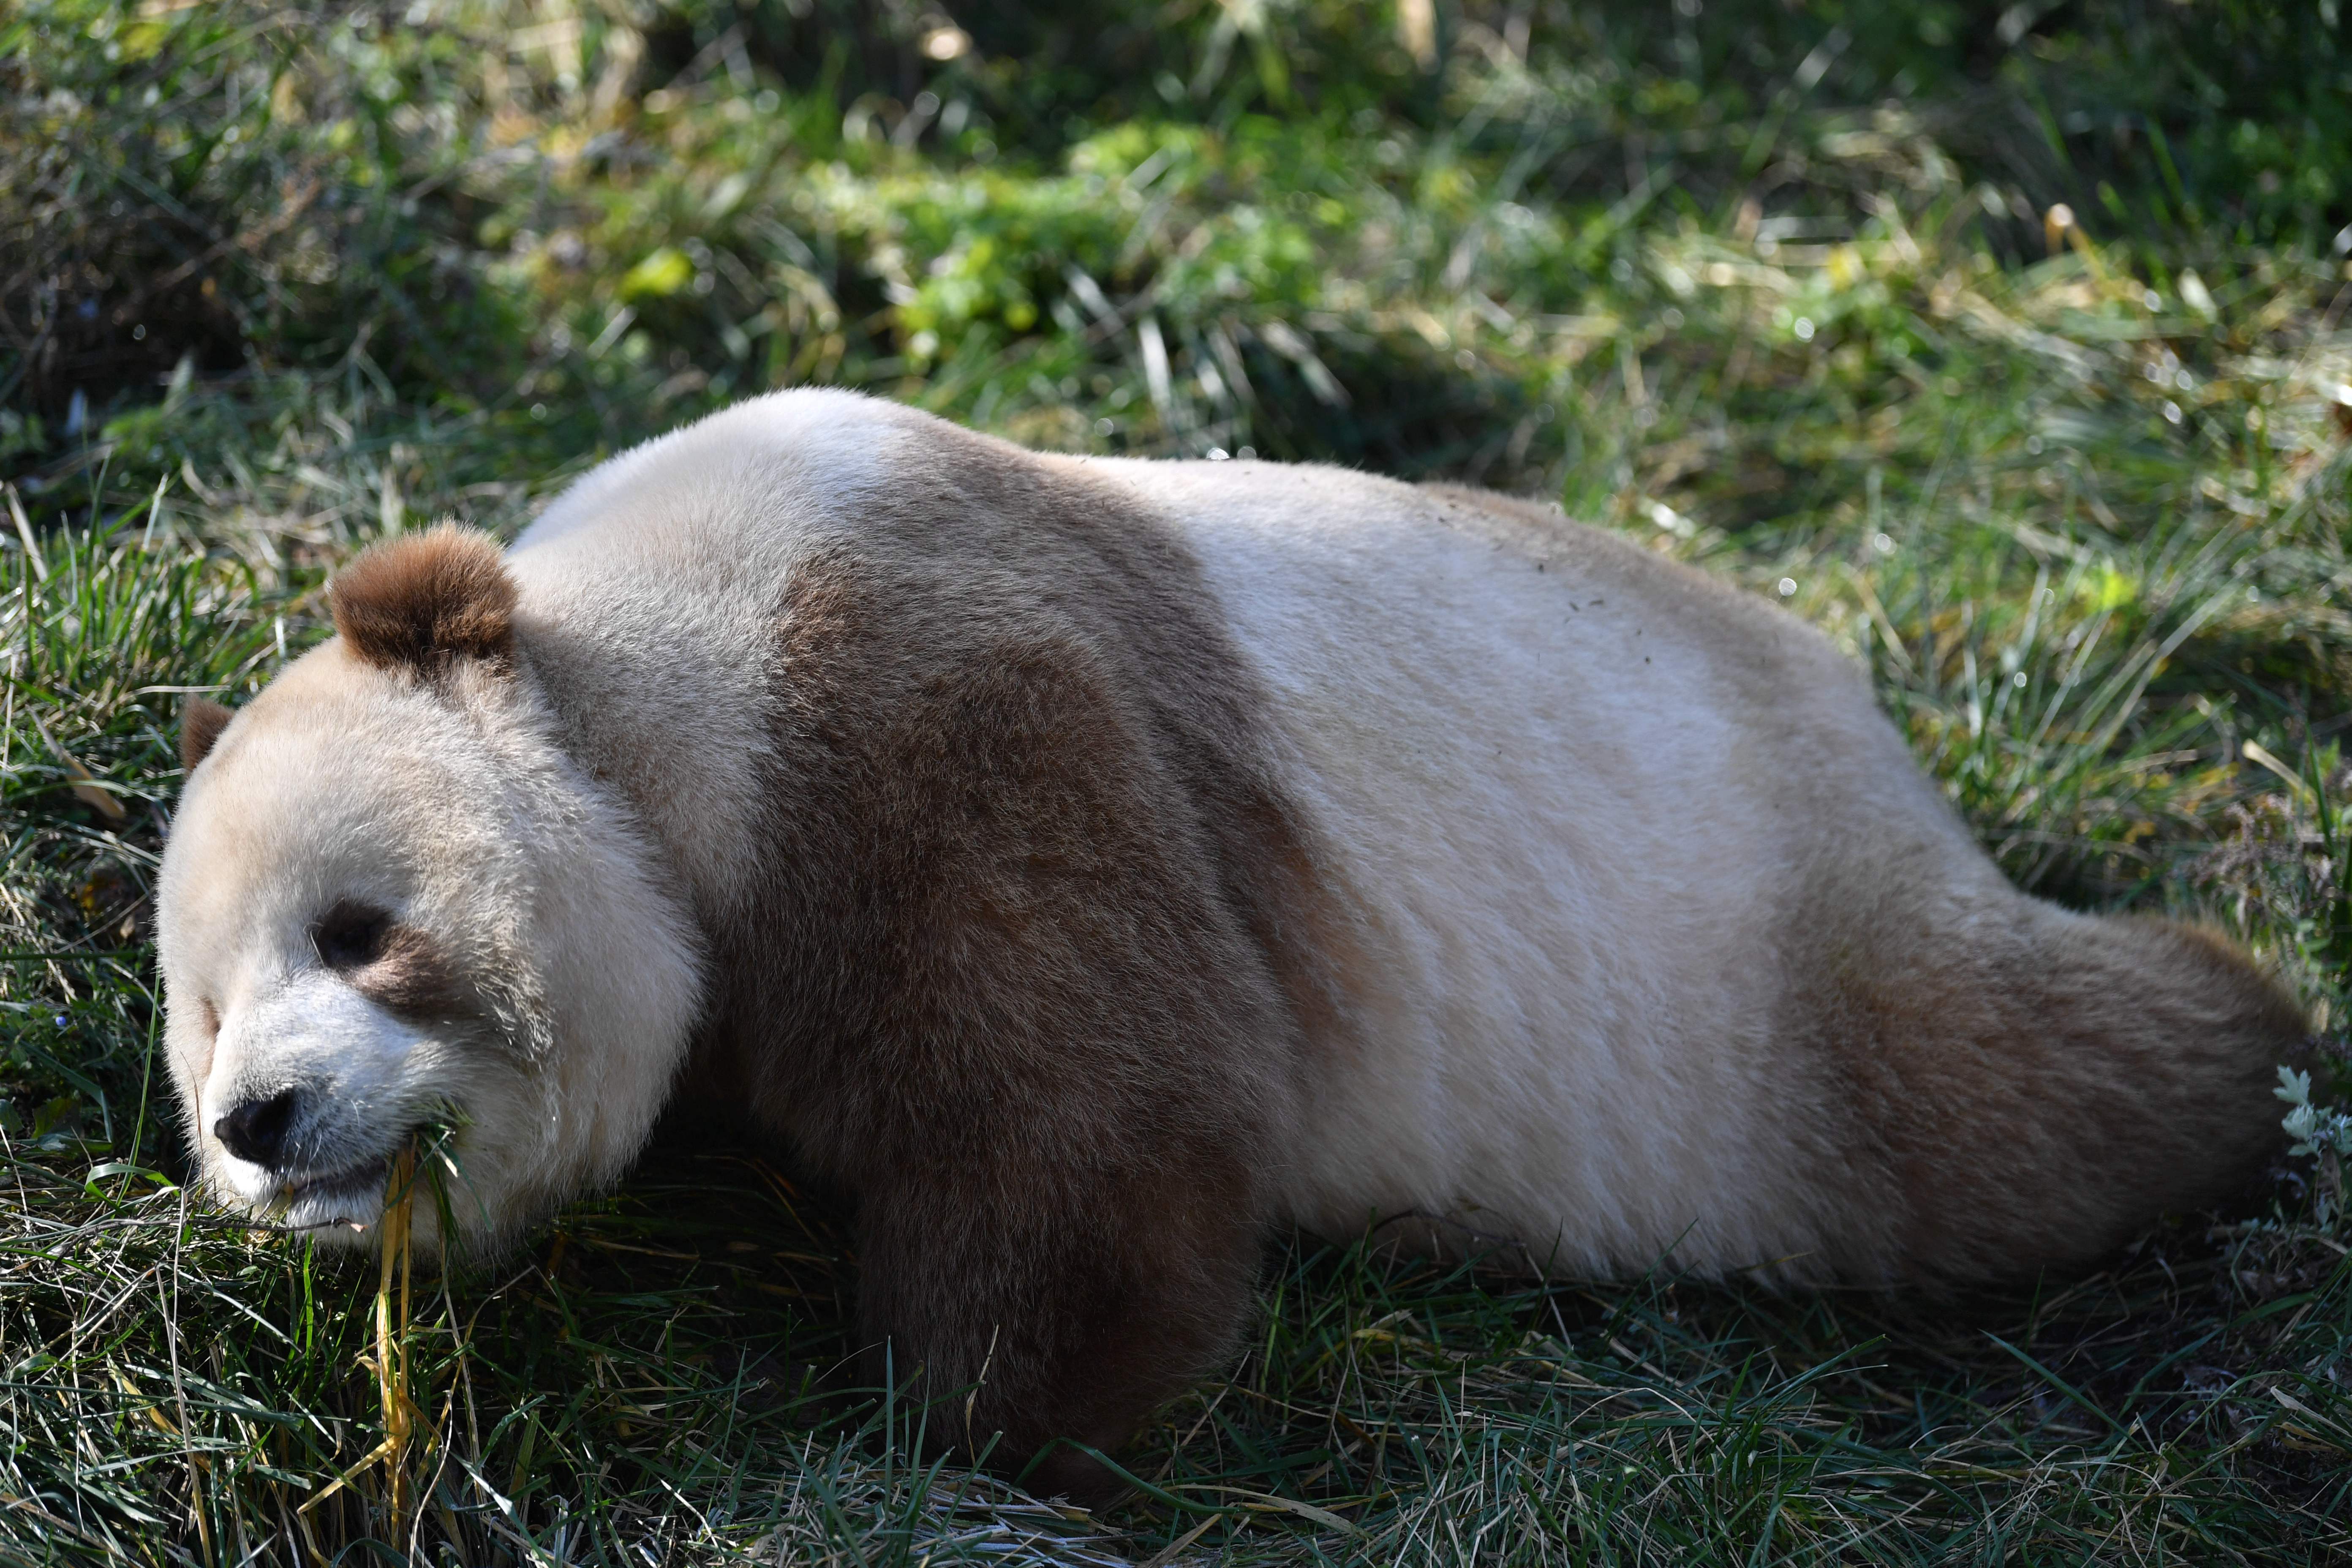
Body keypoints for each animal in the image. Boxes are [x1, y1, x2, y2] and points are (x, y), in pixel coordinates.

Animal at [156, 385, 2305, 1495]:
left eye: (363, 931)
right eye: (201, 1014)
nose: (264, 1124)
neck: (628, 665)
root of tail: (1873, 722)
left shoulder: (918, 712)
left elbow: (1085, 1101)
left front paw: (991, 1423)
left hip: (1753, 953)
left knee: (1991, 1094)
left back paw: (2256, 1050)